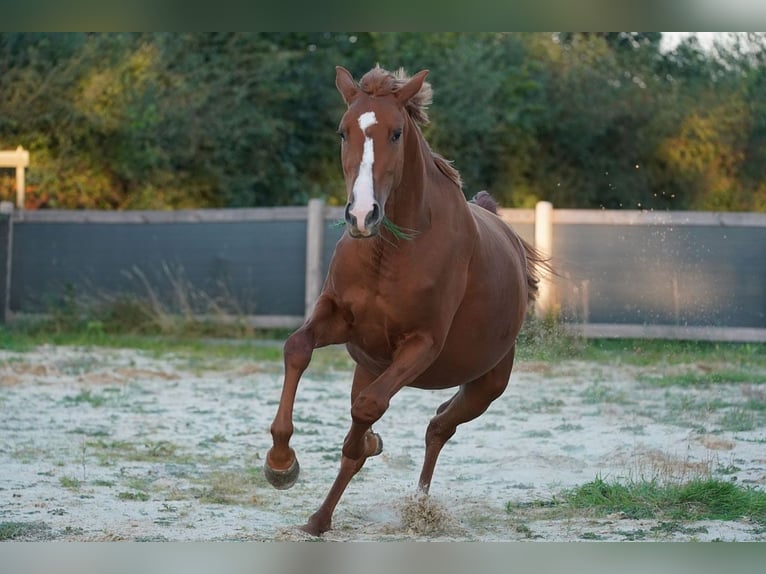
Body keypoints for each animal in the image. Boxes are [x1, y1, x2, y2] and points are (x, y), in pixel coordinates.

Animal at [264, 65, 548, 536]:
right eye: (343, 132)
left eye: (396, 133)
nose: (362, 215)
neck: (390, 251)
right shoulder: (338, 318)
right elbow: (297, 349)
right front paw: (281, 463)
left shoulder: (421, 345)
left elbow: (368, 408)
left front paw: (361, 443)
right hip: (369, 365)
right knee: (413, 423)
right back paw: (319, 520)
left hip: (486, 385)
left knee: (438, 426)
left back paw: (416, 503)